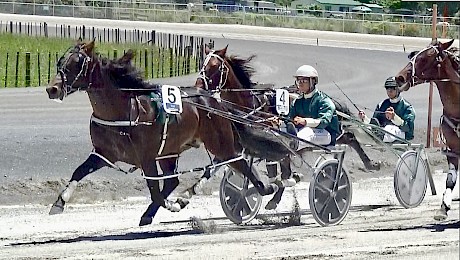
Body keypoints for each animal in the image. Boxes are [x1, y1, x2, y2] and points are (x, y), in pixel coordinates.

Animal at [45, 39, 276, 225]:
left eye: (76, 63)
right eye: (60, 62)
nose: (52, 89)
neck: (123, 110)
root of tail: (215, 101)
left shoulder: (147, 158)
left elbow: (156, 193)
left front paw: (169, 205)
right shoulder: (104, 154)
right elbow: (79, 171)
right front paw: (59, 203)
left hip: (219, 143)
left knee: (239, 161)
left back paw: (263, 188)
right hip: (170, 151)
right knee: (176, 179)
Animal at [394, 38, 458, 220]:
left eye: (426, 58)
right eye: (414, 55)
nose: (399, 77)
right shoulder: (453, 148)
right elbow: (450, 179)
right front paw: (443, 209)